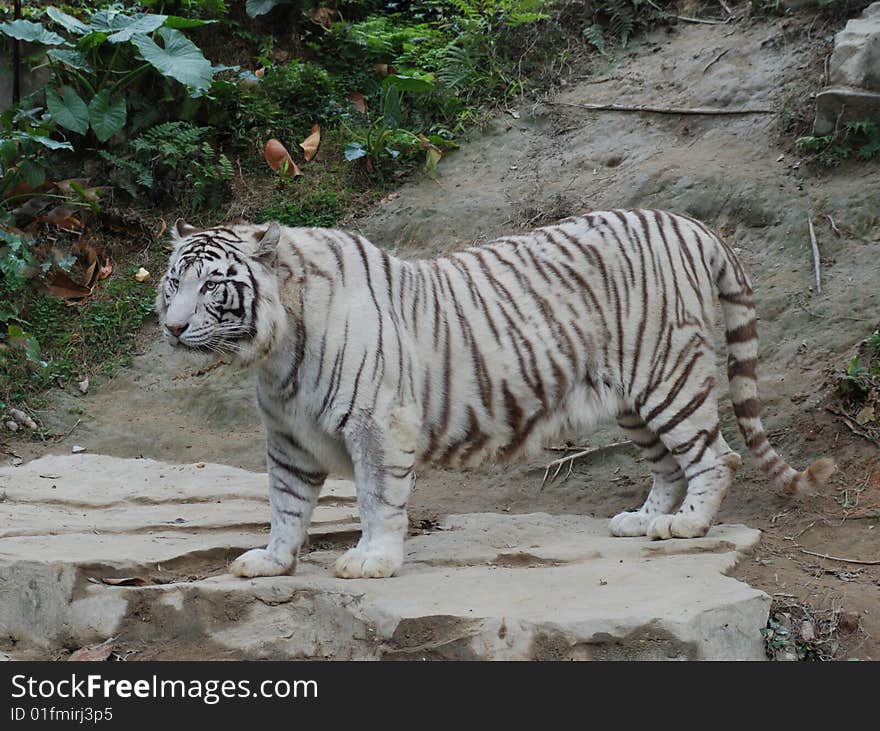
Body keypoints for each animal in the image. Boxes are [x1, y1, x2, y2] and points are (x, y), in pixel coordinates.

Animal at [155, 210, 836, 576]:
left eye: (212, 285)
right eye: (171, 282)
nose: (173, 327)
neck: (276, 353)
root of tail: (690, 224)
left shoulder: (378, 423)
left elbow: (377, 500)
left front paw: (372, 560)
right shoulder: (289, 440)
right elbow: (285, 505)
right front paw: (271, 561)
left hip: (667, 376)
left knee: (716, 456)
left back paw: (687, 526)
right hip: (629, 399)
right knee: (668, 465)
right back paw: (643, 520)